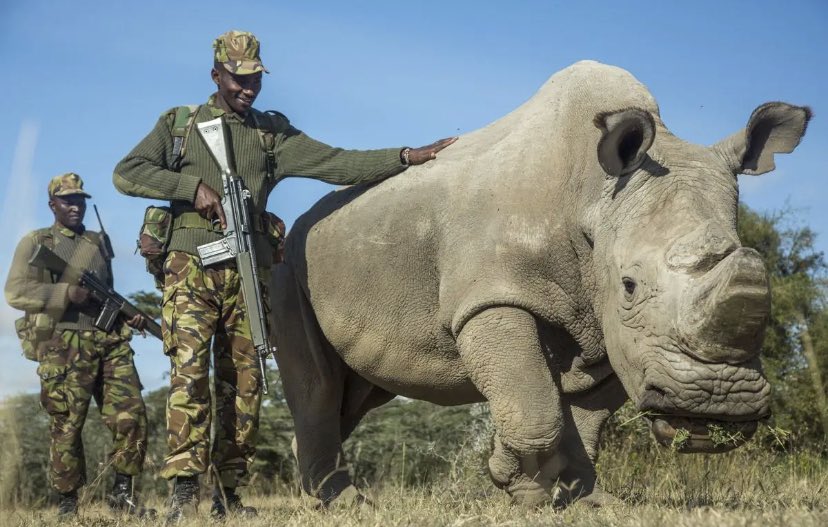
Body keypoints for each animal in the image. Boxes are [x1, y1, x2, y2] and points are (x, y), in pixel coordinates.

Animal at [269, 60, 810, 507]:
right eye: (630, 285)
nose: (717, 403)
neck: (593, 196)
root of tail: (301, 224)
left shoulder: (605, 323)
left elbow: (586, 416)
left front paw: (582, 500)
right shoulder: (492, 298)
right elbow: (535, 406)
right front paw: (514, 481)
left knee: (360, 392)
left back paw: (320, 495)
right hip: (289, 264)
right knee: (317, 386)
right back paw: (344, 503)